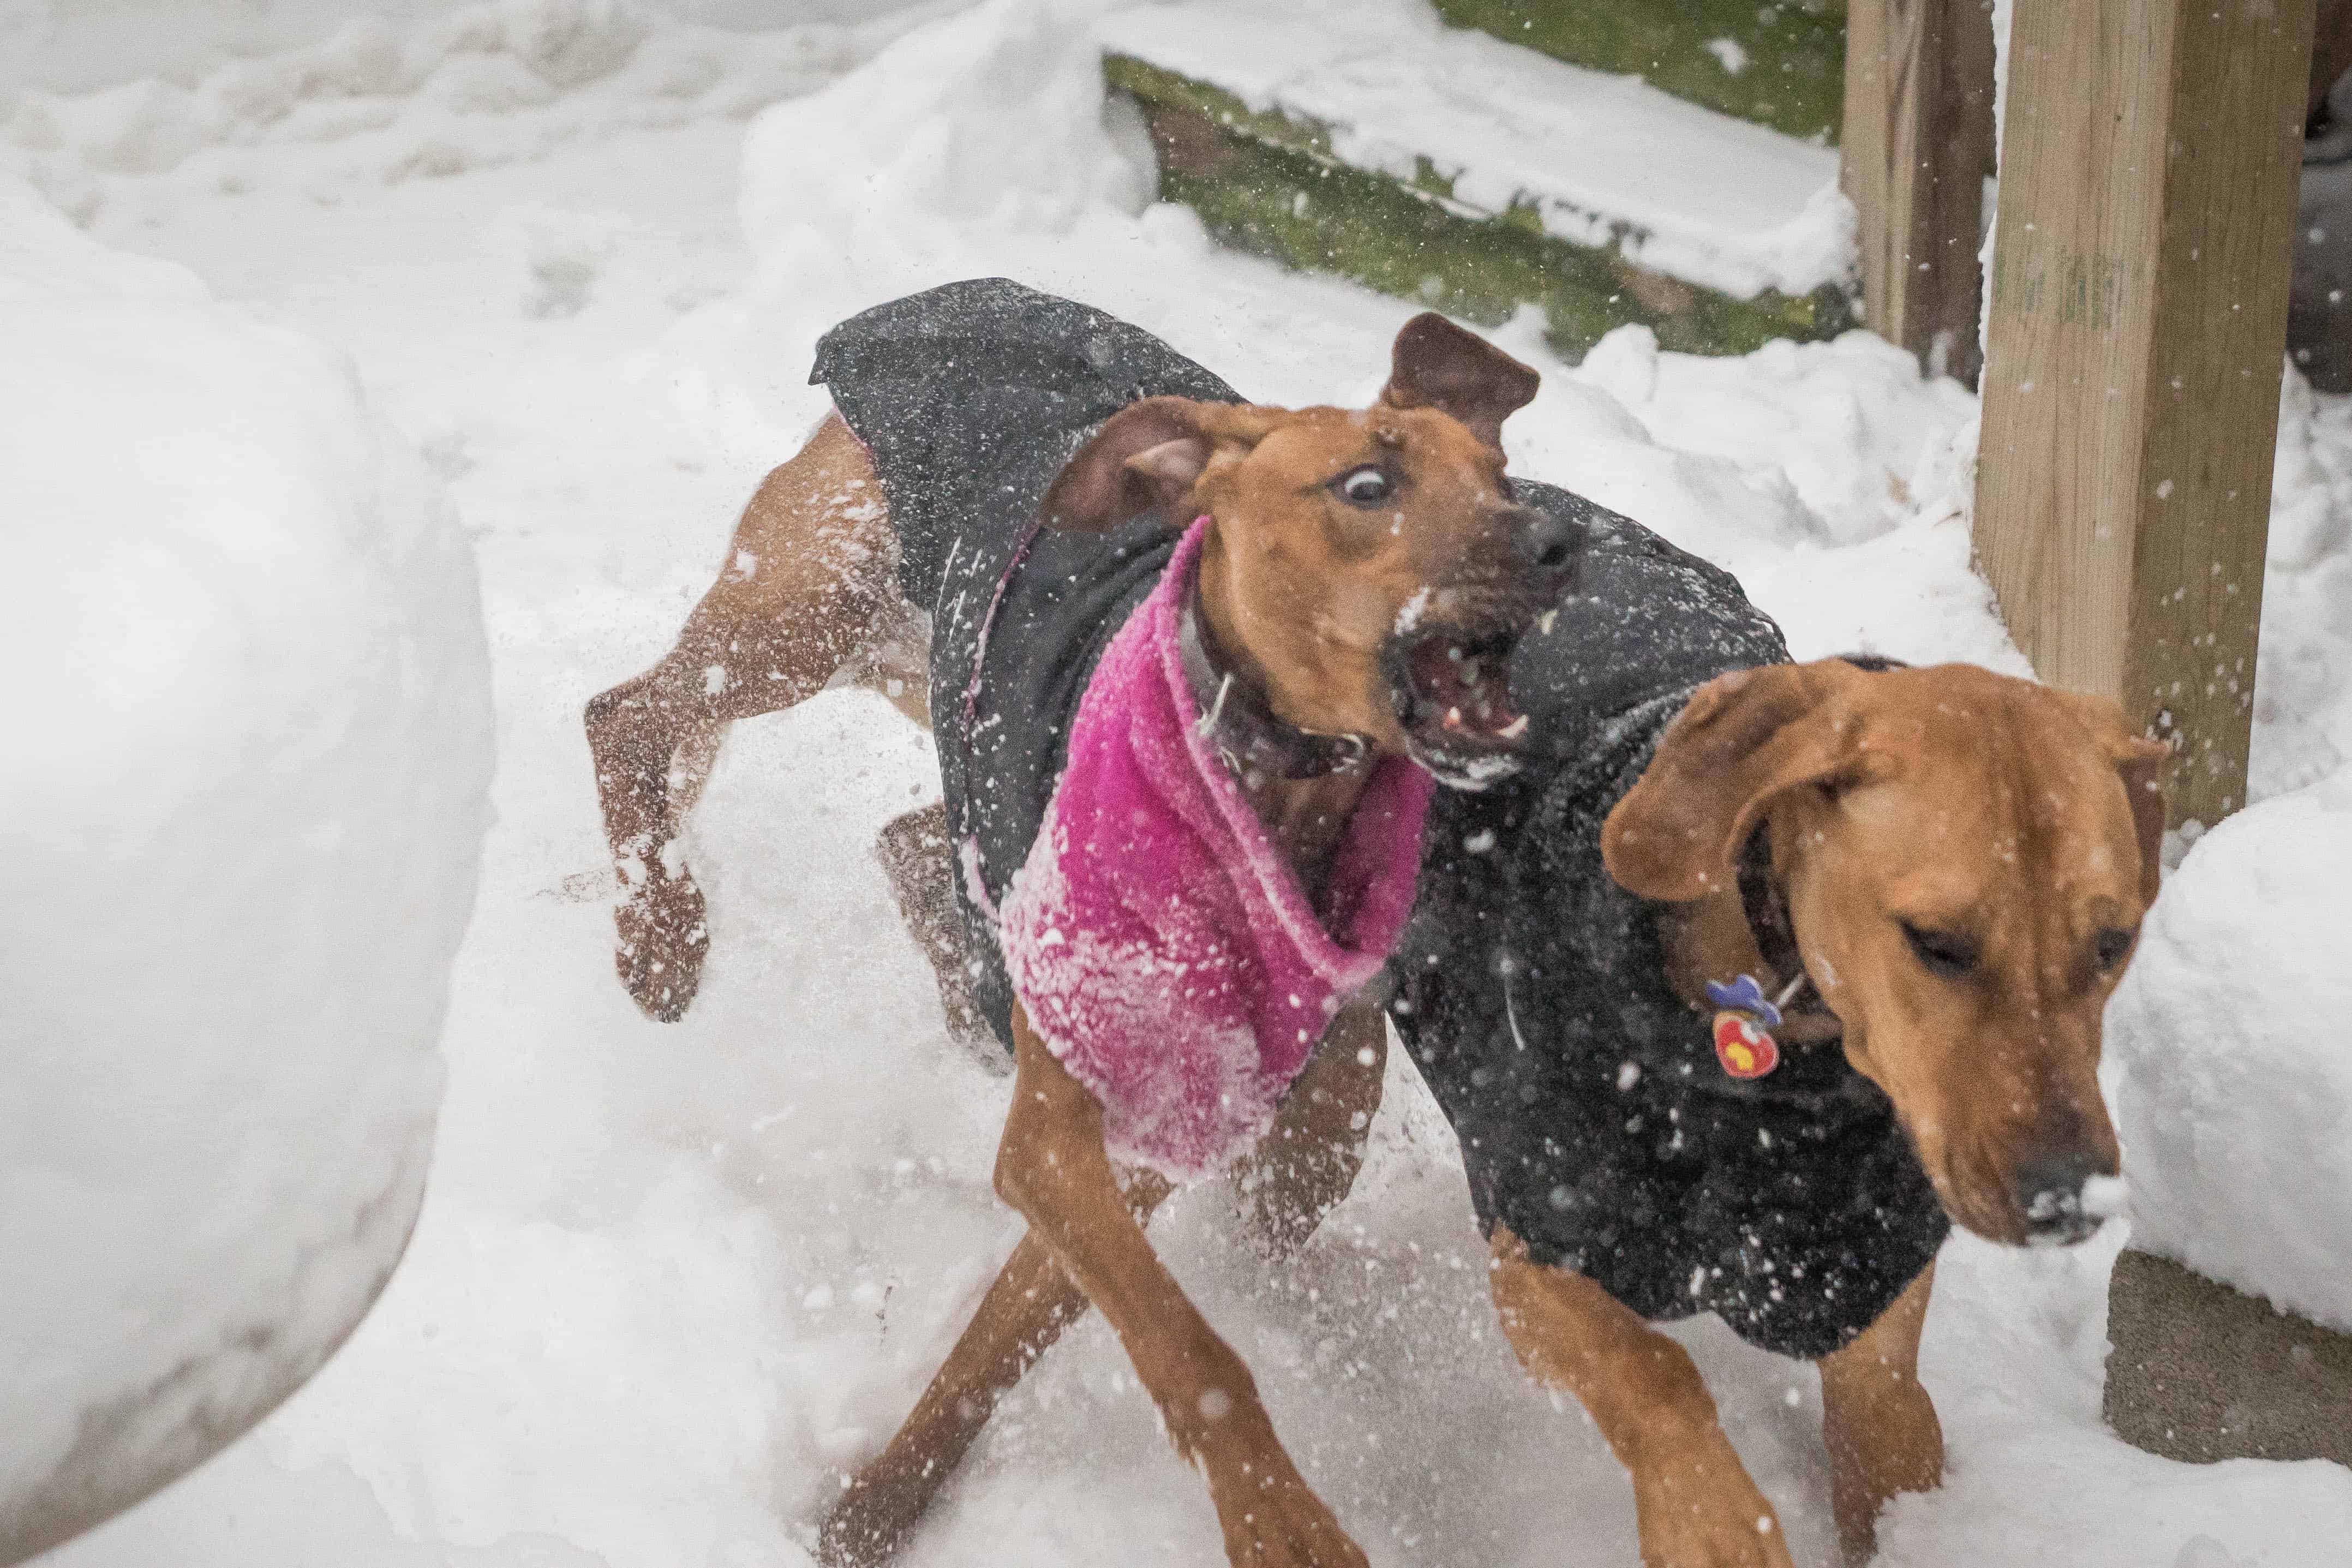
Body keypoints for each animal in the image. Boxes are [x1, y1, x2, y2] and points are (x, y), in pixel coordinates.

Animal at [588, 285, 1580, 1568]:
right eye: (1368, 485)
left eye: (1501, 475)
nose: (1559, 543)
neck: (1261, 792)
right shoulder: (1064, 1139)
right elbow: (1190, 1349)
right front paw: (1282, 1524)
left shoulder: (1152, 1132)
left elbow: (1010, 1337)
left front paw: (880, 1503)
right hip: (816, 609)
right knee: (627, 715)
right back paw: (660, 935)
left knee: (907, 837)